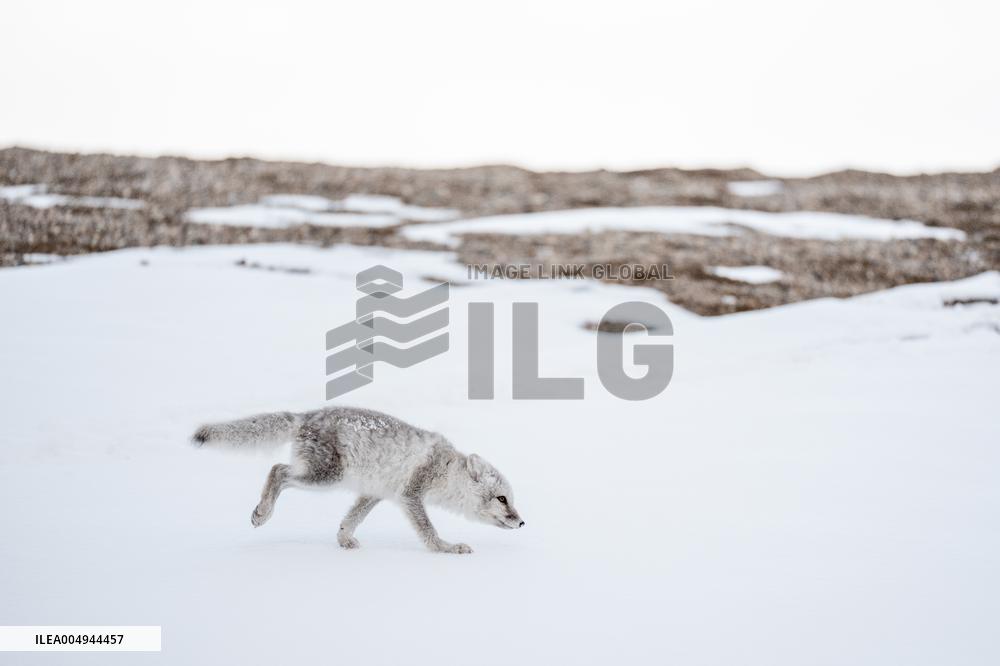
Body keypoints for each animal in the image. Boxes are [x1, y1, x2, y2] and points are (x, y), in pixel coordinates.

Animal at [191, 406, 523, 554]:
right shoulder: (411, 494)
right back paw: (262, 513)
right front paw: (447, 548)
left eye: (511, 499)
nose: (521, 523)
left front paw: (344, 540)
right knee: (277, 469)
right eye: (502, 498)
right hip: (325, 476)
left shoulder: (374, 493)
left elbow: (351, 518)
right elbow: (428, 531)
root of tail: (306, 416)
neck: (447, 468)